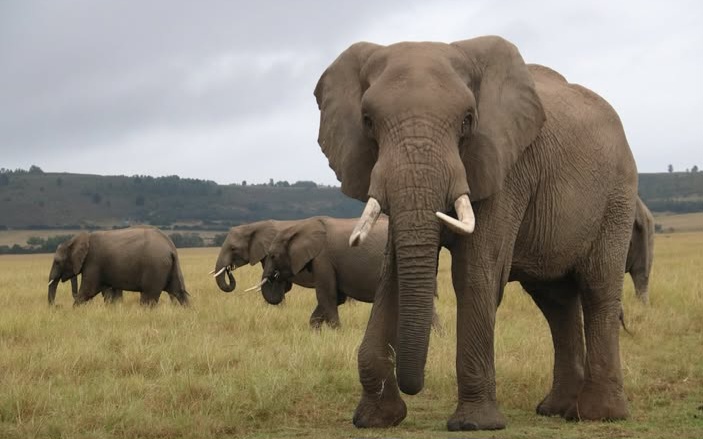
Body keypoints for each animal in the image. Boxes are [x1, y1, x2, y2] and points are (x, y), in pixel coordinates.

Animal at [47, 227, 190, 306]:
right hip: (170, 267)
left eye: (57, 262)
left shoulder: (94, 262)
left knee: (148, 297)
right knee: (179, 292)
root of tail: (171, 247)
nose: (56, 306)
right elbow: (110, 294)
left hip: (155, 267)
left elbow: (88, 291)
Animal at [313, 36, 637, 430]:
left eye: (468, 121)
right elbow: (391, 276)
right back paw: (557, 409)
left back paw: (597, 415)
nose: (413, 387)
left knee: (597, 288)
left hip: (617, 196)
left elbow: (474, 273)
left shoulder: (507, 166)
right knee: (555, 301)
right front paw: (375, 419)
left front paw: (475, 424)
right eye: (368, 121)